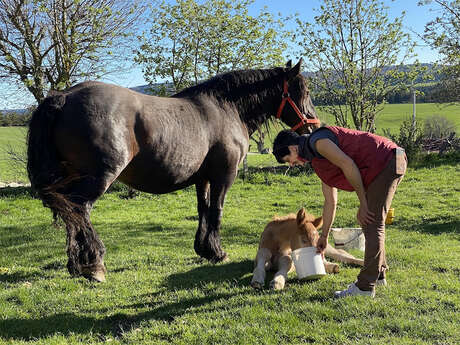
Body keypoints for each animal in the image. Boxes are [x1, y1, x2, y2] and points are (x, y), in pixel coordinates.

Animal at [27, 59, 318, 280]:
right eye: (303, 91)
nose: (312, 126)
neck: (225, 108)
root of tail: (64, 97)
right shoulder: (223, 176)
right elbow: (217, 211)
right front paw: (218, 252)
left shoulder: (203, 179)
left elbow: (203, 210)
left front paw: (205, 249)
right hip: (99, 178)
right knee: (79, 209)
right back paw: (93, 263)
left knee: (70, 213)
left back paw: (75, 264)